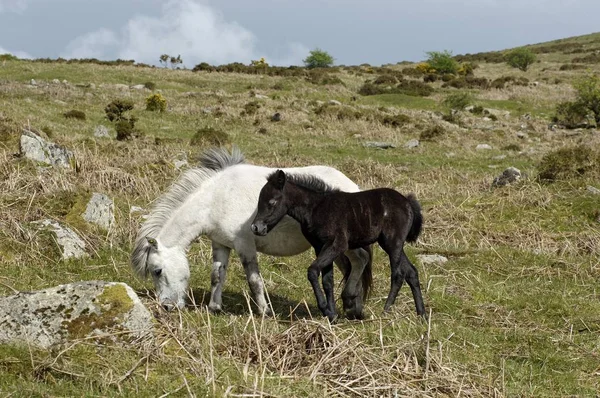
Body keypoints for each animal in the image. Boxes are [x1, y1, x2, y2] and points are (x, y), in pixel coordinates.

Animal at [131, 145, 370, 314]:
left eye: (157, 270)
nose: (166, 307)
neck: (216, 198)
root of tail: (353, 188)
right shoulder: (221, 244)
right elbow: (217, 275)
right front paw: (214, 307)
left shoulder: (245, 245)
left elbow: (254, 280)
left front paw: (264, 311)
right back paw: (351, 306)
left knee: (360, 260)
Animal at [250, 169, 426, 322]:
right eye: (259, 200)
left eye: (272, 201)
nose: (256, 227)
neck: (316, 208)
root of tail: (408, 202)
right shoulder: (320, 247)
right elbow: (328, 281)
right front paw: (332, 315)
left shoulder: (337, 245)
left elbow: (313, 271)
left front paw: (325, 309)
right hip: (391, 244)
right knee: (411, 272)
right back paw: (421, 314)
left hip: (393, 242)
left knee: (398, 274)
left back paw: (386, 310)